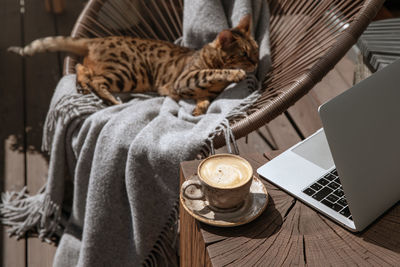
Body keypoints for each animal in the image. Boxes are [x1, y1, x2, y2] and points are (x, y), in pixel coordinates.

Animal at [10, 14, 260, 115]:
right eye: (245, 54)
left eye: (257, 51)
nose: (256, 64)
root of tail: (96, 39)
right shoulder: (183, 79)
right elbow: (212, 72)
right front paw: (235, 73)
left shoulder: (198, 91)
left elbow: (205, 100)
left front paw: (199, 110)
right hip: (128, 73)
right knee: (97, 79)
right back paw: (111, 100)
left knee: (83, 68)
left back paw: (82, 85)